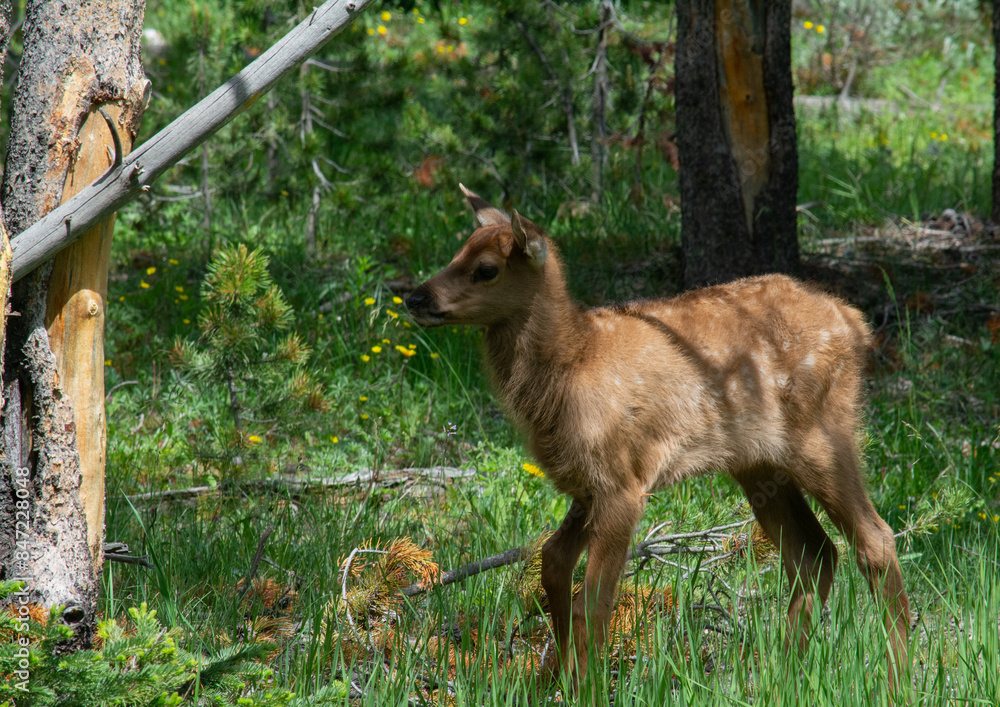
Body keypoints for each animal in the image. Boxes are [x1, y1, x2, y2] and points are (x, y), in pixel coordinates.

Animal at [405, 185, 911, 690]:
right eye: (456, 253)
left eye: (486, 268)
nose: (414, 297)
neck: (570, 370)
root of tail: (854, 321)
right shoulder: (588, 485)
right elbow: (553, 562)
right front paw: (556, 679)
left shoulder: (623, 483)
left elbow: (595, 599)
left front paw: (587, 688)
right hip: (759, 464)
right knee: (814, 555)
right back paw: (780, 678)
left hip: (824, 436)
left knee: (876, 540)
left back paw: (896, 678)